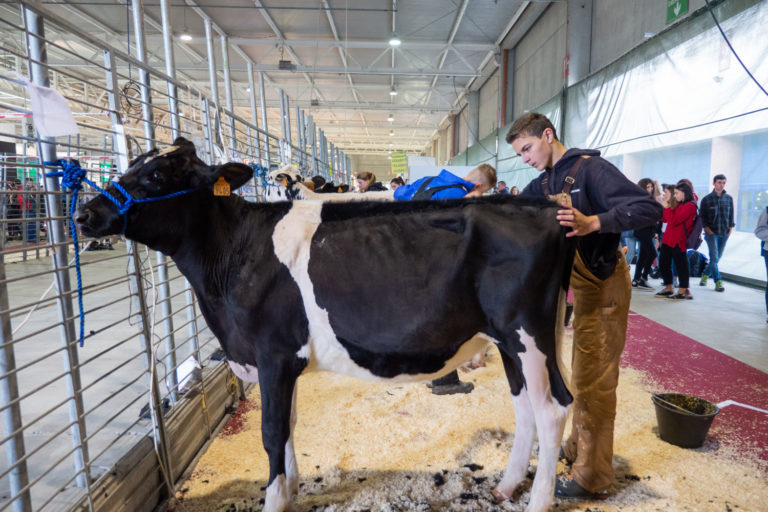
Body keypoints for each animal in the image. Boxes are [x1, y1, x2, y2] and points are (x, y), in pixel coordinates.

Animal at [75, 139, 572, 512]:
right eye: (131, 164)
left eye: (157, 176)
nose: (84, 214)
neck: (232, 258)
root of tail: (547, 209)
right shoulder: (282, 359)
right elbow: (290, 421)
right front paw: (292, 487)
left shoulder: (272, 353)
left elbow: (273, 430)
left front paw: (275, 500)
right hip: (508, 340)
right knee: (525, 406)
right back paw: (506, 486)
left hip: (528, 334)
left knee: (553, 410)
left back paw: (538, 501)